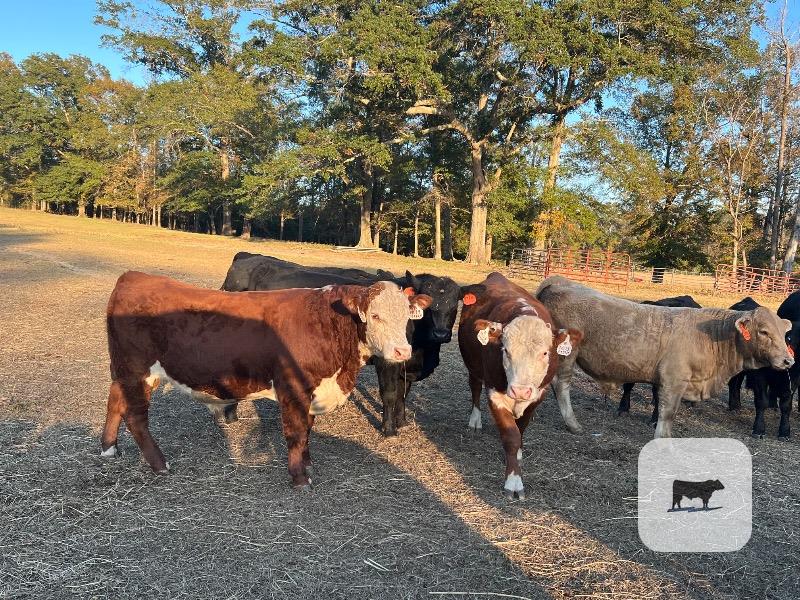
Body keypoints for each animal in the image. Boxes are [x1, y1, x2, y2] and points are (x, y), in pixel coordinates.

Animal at [102, 271, 431, 488]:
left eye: (407, 317)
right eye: (375, 316)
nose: (402, 351)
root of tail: (133, 277)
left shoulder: (312, 392)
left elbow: (308, 430)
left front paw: (307, 464)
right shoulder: (293, 388)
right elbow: (296, 432)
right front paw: (299, 478)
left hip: (126, 372)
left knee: (115, 402)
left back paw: (108, 448)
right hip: (136, 371)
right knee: (136, 418)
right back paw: (160, 464)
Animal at [221, 252, 464, 436]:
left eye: (455, 305)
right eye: (429, 306)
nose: (441, 333)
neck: (423, 352)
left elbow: (403, 394)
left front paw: (401, 422)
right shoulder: (386, 361)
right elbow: (390, 393)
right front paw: (389, 430)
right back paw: (231, 415)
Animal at [458, 273, 581, 499]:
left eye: (545, 353)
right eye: (505, 350)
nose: (521, 390)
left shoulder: (539, 394)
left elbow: (521, 429)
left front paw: (519, 453)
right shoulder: (495, 393)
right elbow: (511, 436)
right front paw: (513, 482)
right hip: (473, 366)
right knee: (474, 388)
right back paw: (475, 420)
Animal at [535, 276, 794, 438]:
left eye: (785, 334)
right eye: (764, 332)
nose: (788, 361)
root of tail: (561, 282)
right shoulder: (673, 380)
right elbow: (667, 412)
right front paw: (662, 437)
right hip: (566, 355)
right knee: (561, 385)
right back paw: (573, 424)